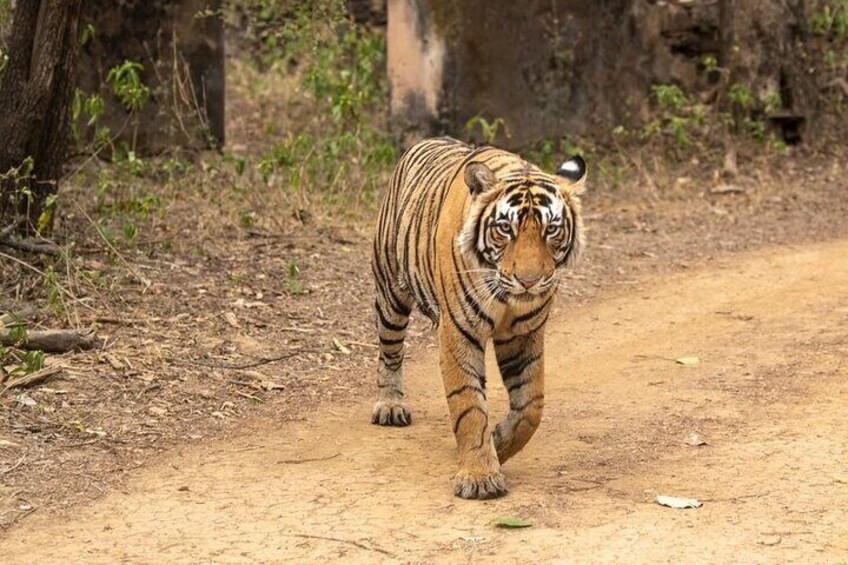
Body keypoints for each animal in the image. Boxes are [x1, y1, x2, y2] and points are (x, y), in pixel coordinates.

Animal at [371, 136, 586, 499]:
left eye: (551, 230)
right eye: (505, 229)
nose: (529, 281)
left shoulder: (523, 335)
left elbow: (531, 406)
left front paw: (499, 443)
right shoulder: (458, 331)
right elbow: (468, 404)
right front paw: (480, 477)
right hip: (391, 294)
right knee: (390, 352)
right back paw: (390, 406)